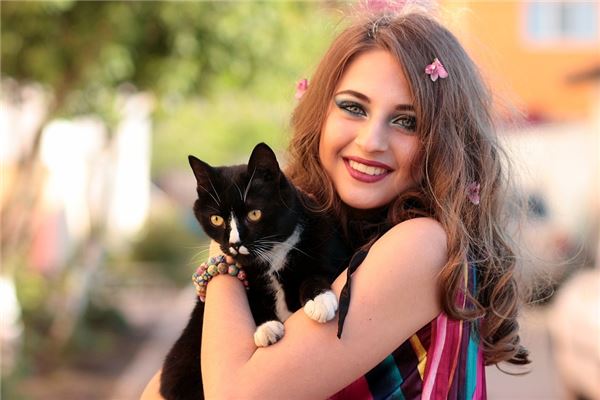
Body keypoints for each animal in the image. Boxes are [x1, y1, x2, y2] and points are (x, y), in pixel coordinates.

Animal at [159, 142, 349, 400]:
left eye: (254, 214)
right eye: (216, 219)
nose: (235, 243)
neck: (273, 258)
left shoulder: (328, 247)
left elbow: (314, 274)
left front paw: (319, 302)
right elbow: (253, 301)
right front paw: (266, 328)